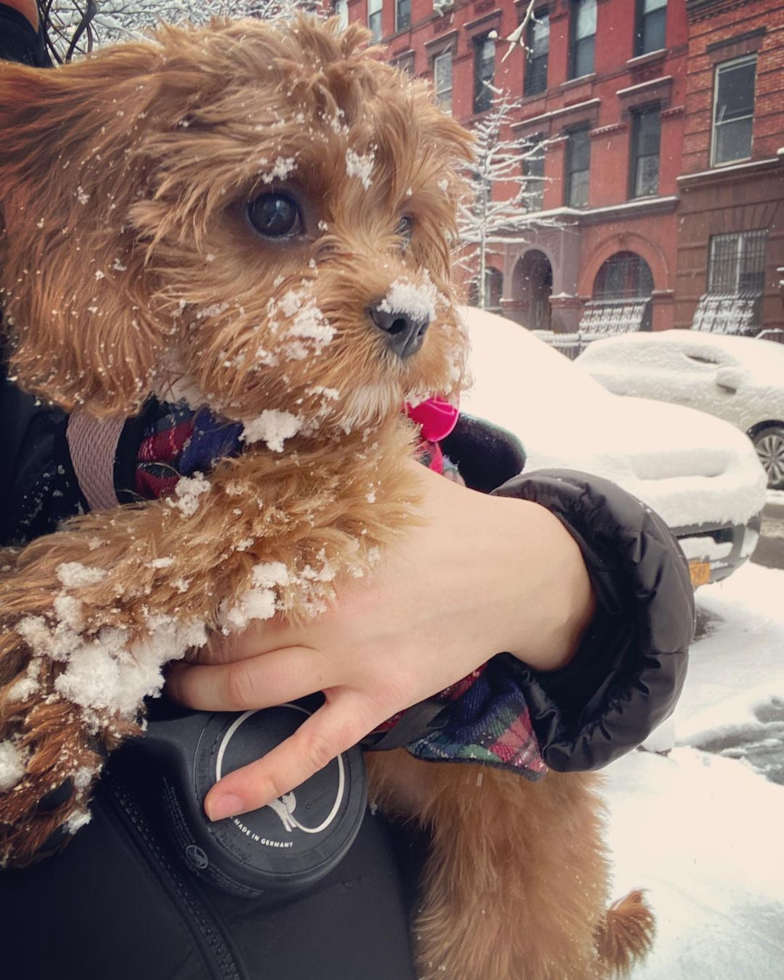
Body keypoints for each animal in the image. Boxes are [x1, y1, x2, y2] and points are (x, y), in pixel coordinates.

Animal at [0, 17, 648, 980]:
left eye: (408, 222)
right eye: (274, 210)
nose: (414, 317)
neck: (208, 415)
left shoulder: (346, 478)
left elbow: (163, 541)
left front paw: (31, 653)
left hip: (498, 909)